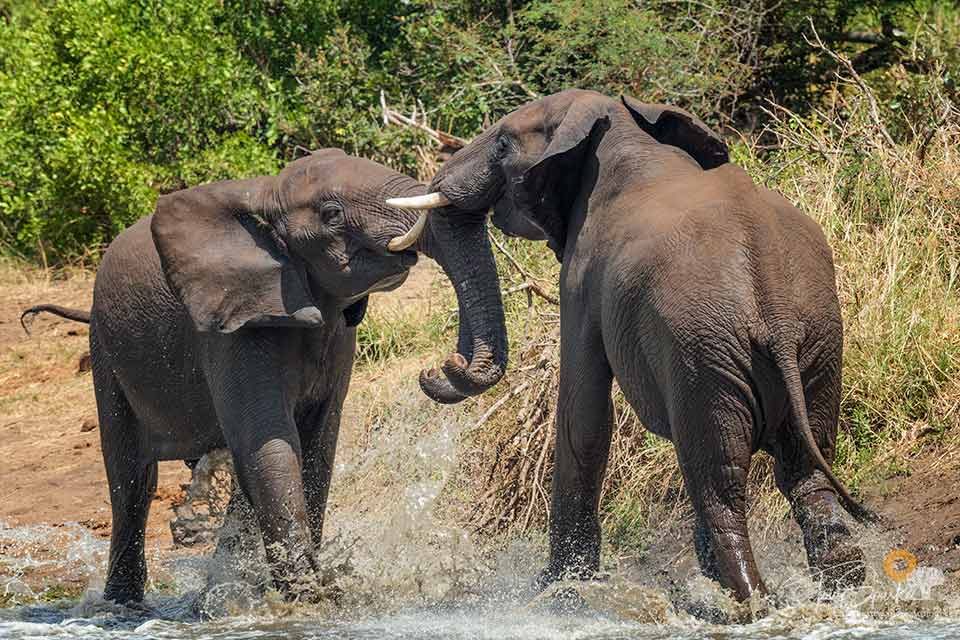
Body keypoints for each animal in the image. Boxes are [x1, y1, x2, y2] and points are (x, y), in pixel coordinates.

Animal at [20, 148, 508, 604]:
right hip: (105, 347)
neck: (268, 192)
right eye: (332, 214)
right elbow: (272, 444)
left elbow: (313, 447)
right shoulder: (229, 327)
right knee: (132, 482)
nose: (441, 368)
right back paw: (123, 605)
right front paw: (312, 598)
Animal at [389, 90, 877, 603]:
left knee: (719, 480)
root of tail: (777, 316)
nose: (438, 368)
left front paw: (556, 586)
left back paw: (747, 598)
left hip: (705, 355)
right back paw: (834, 584)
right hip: (818, 343)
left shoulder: (582, 276)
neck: (616, 124)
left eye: (502, 144)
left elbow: (582, 411)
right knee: (806, 471)